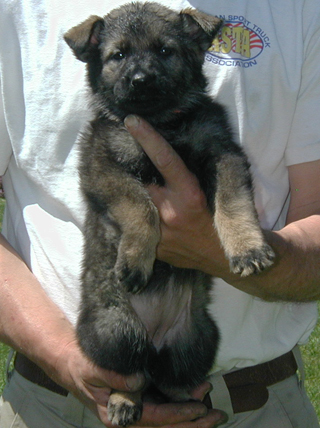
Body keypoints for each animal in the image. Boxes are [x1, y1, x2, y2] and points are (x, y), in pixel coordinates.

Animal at [64, 2, 272, 424]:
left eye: (165, 50)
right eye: (118, 55)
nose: (141, 80)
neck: (162, 123)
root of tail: (157, 339)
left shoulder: (223, 154)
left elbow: (232, 202)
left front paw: (247, 247)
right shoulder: (103, 166)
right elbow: (140, 206)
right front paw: (136, 257)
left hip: (199, 340)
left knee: (170, 380)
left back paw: (194, 405)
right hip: (116, 330)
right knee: (133, 374)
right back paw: (124, 400)